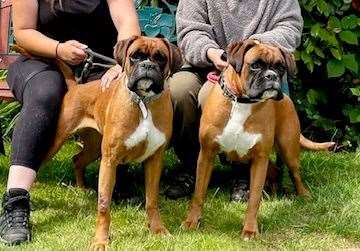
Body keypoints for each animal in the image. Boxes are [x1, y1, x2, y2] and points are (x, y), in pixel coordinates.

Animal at [35, 36, 183, 250]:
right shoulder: (109, 161)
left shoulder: (155, 159)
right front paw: (100, 240)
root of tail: (77, 86)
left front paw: (157, 230)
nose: (147, 65)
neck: (143, 102)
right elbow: (104, 204)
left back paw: (81, 188)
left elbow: (152, 200)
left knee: (77, 159)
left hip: (93, 147)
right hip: (58, 141)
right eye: (135, 56)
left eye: (161, 58)